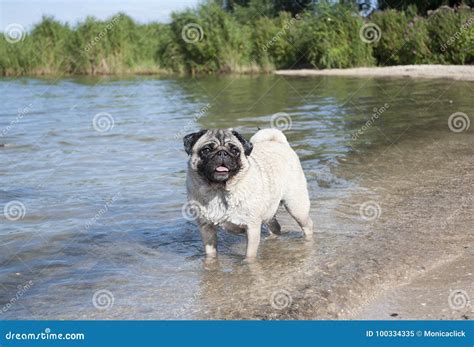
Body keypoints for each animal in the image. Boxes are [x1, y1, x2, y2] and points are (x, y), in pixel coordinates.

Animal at [183, 129, 312, 260]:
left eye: (235, 150)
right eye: (206, 150)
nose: (222, 153)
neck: (219, 190)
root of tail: (280, 143)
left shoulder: (252, 227)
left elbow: (250, 255)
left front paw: (247, 263)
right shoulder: (206, 228)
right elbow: (210, 253)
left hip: (296, 207)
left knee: (308, 225)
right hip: (270, 209)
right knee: (276, 228)